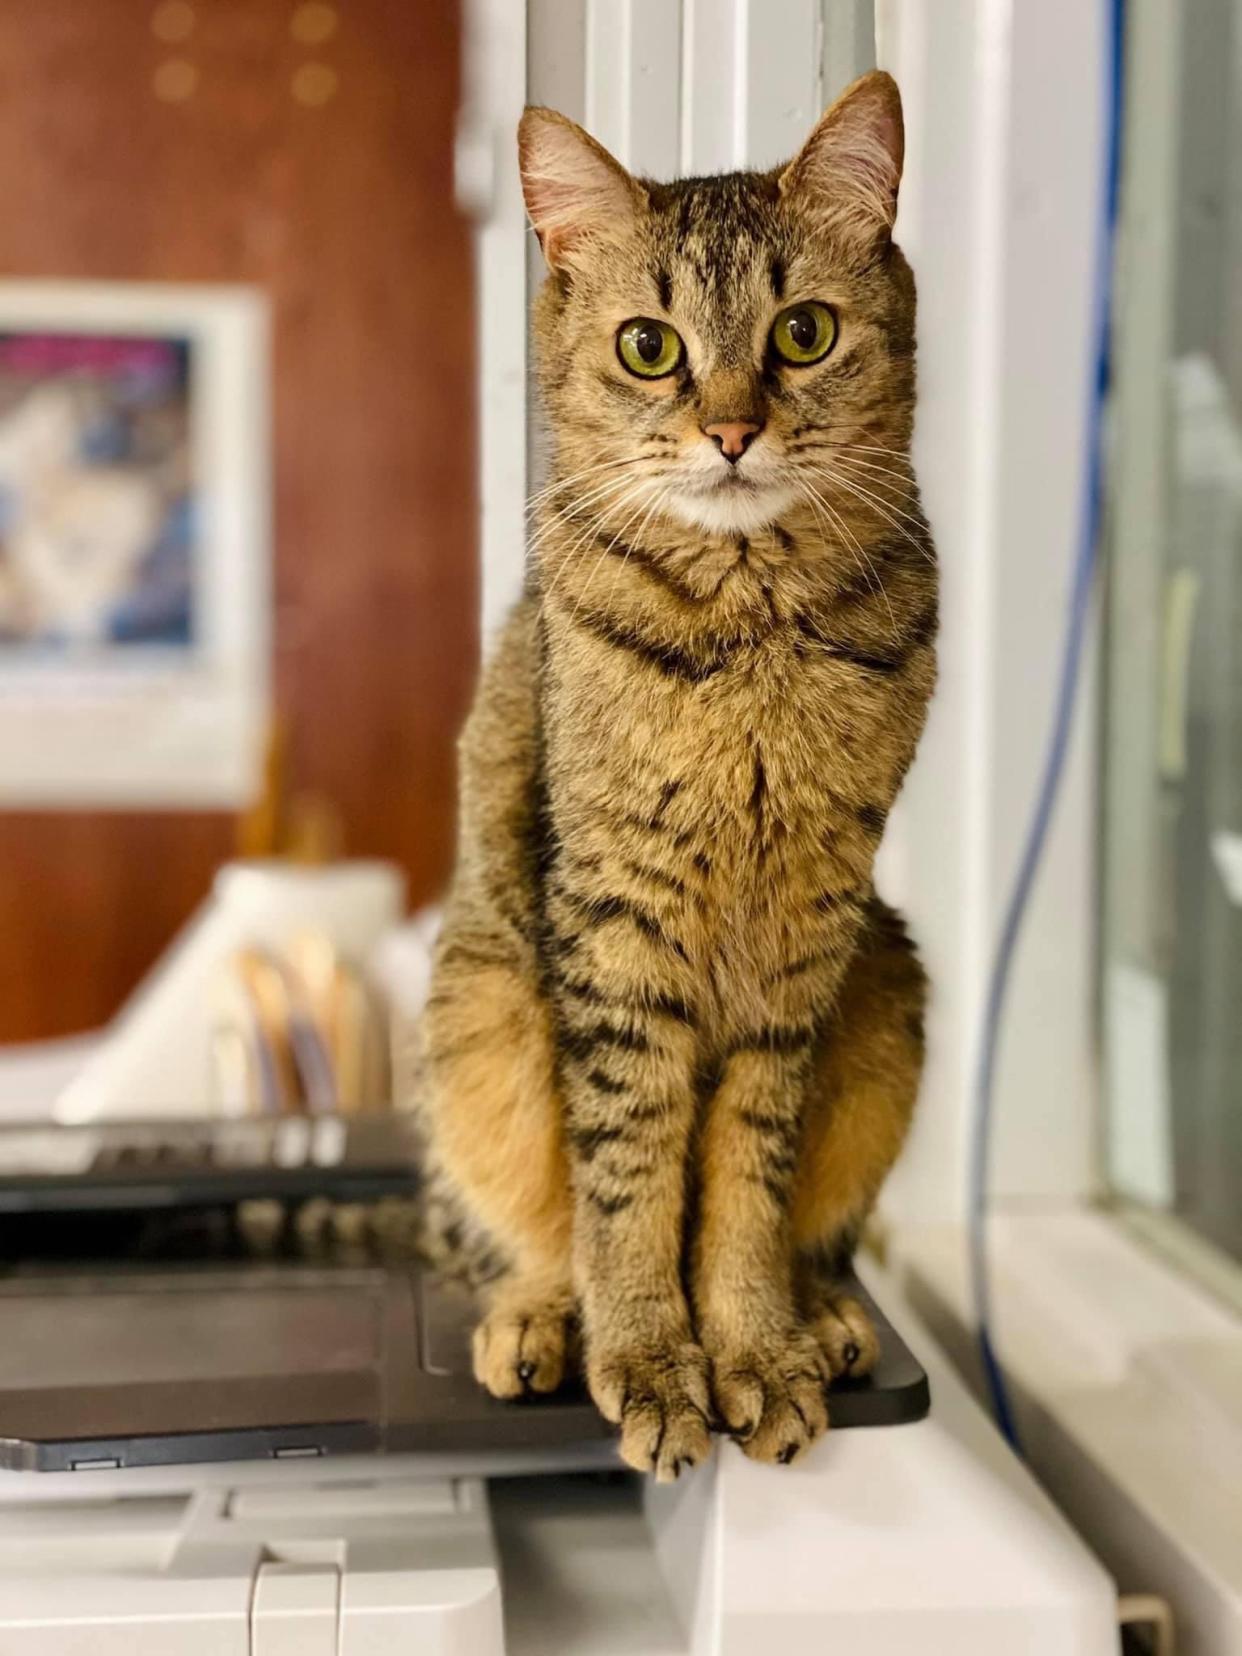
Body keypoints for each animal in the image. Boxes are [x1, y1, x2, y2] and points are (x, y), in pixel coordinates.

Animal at [414, 71, 940, 1483]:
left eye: (804, 332)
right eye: (651, 347)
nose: (733, 430)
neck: (749, 633)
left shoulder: (803, 947)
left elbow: (747, 1188)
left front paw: (754, 1346)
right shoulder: (613, 934)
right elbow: (629, 1180)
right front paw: (651, 1359)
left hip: (888, 983)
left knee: (816, 1232)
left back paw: (827, 1319)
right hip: (482, 1005)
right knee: (514, 1235)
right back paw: (538, 1322)